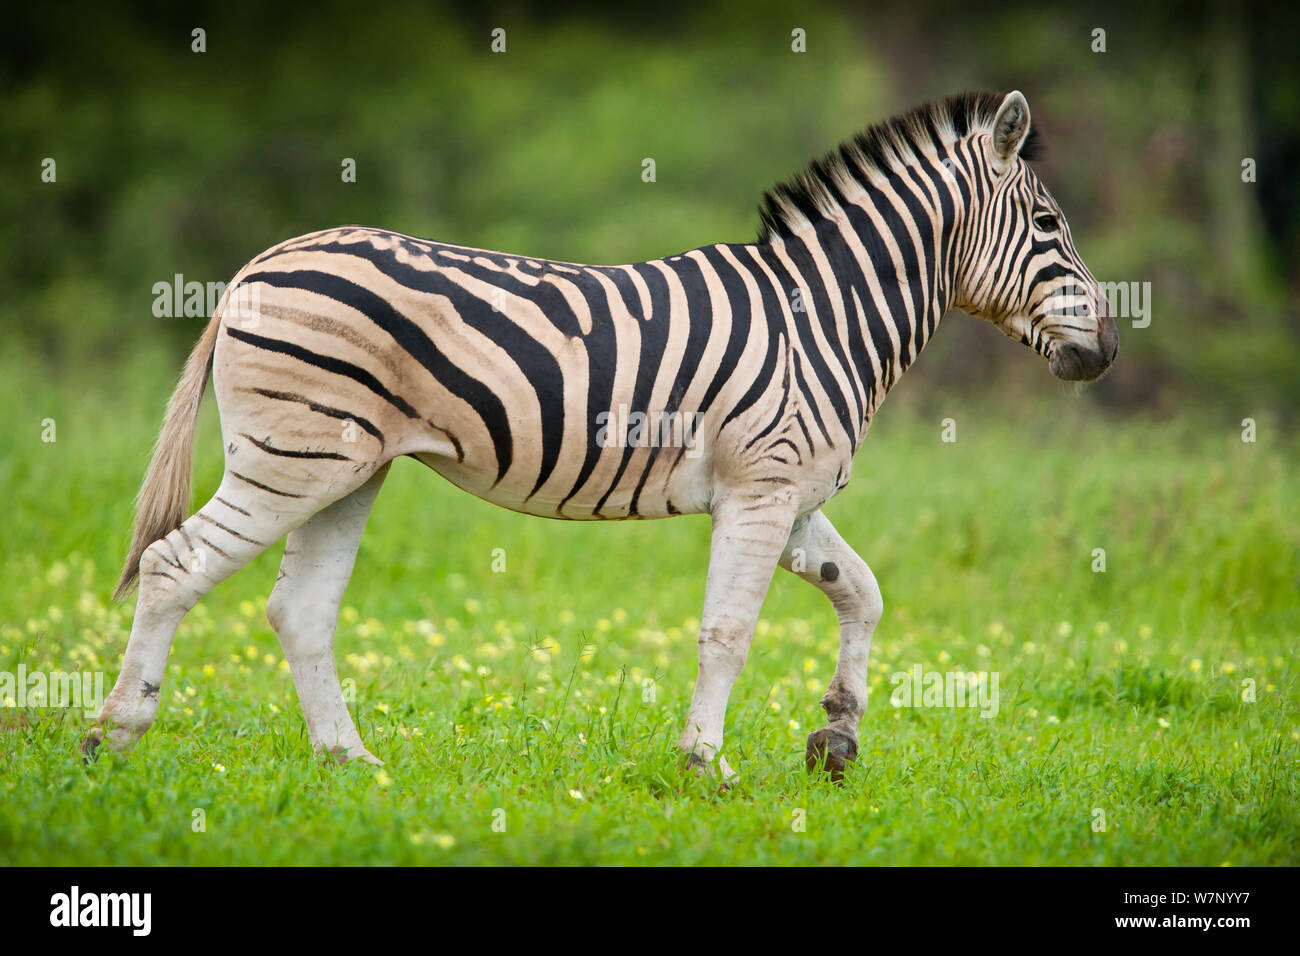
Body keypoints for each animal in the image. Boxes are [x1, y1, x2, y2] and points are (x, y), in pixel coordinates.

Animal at [83, 89, 1118, 780]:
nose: (1107, 350)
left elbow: (860, 592)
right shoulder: (762, 488)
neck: (821, 314)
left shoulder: (789, 495)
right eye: (1048, 221)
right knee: (174, 567)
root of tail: (258, 263)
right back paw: (113, 737)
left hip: (348, 468)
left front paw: (836, 735)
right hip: (292, 461)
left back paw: (351, 763)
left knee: (298, 608)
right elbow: (729, 630)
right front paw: (707, 765)